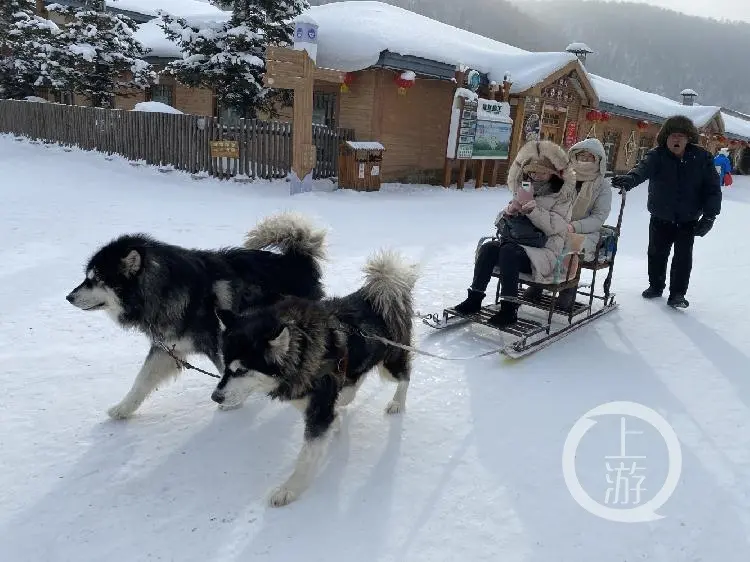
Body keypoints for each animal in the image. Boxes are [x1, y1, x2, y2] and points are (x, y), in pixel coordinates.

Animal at [68, 212, 328, 418]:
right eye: (88, 277)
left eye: (95, 280)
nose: (69, 297)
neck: (164, 289)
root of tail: (297, 258)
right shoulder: (167, 347)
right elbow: (142, 380)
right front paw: (123, 408)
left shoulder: (222, 344)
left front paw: (232, 401)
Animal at [214, 248, 420, 504]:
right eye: (226, 365)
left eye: (242, 370)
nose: (216, 397)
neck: (302, 349)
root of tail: (383, 289)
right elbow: (331, 416)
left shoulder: (318, 412)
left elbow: (307, 455)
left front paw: (290, 488)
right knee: (353, 385)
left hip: (390, 363)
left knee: (405, 377)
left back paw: (397, 402)